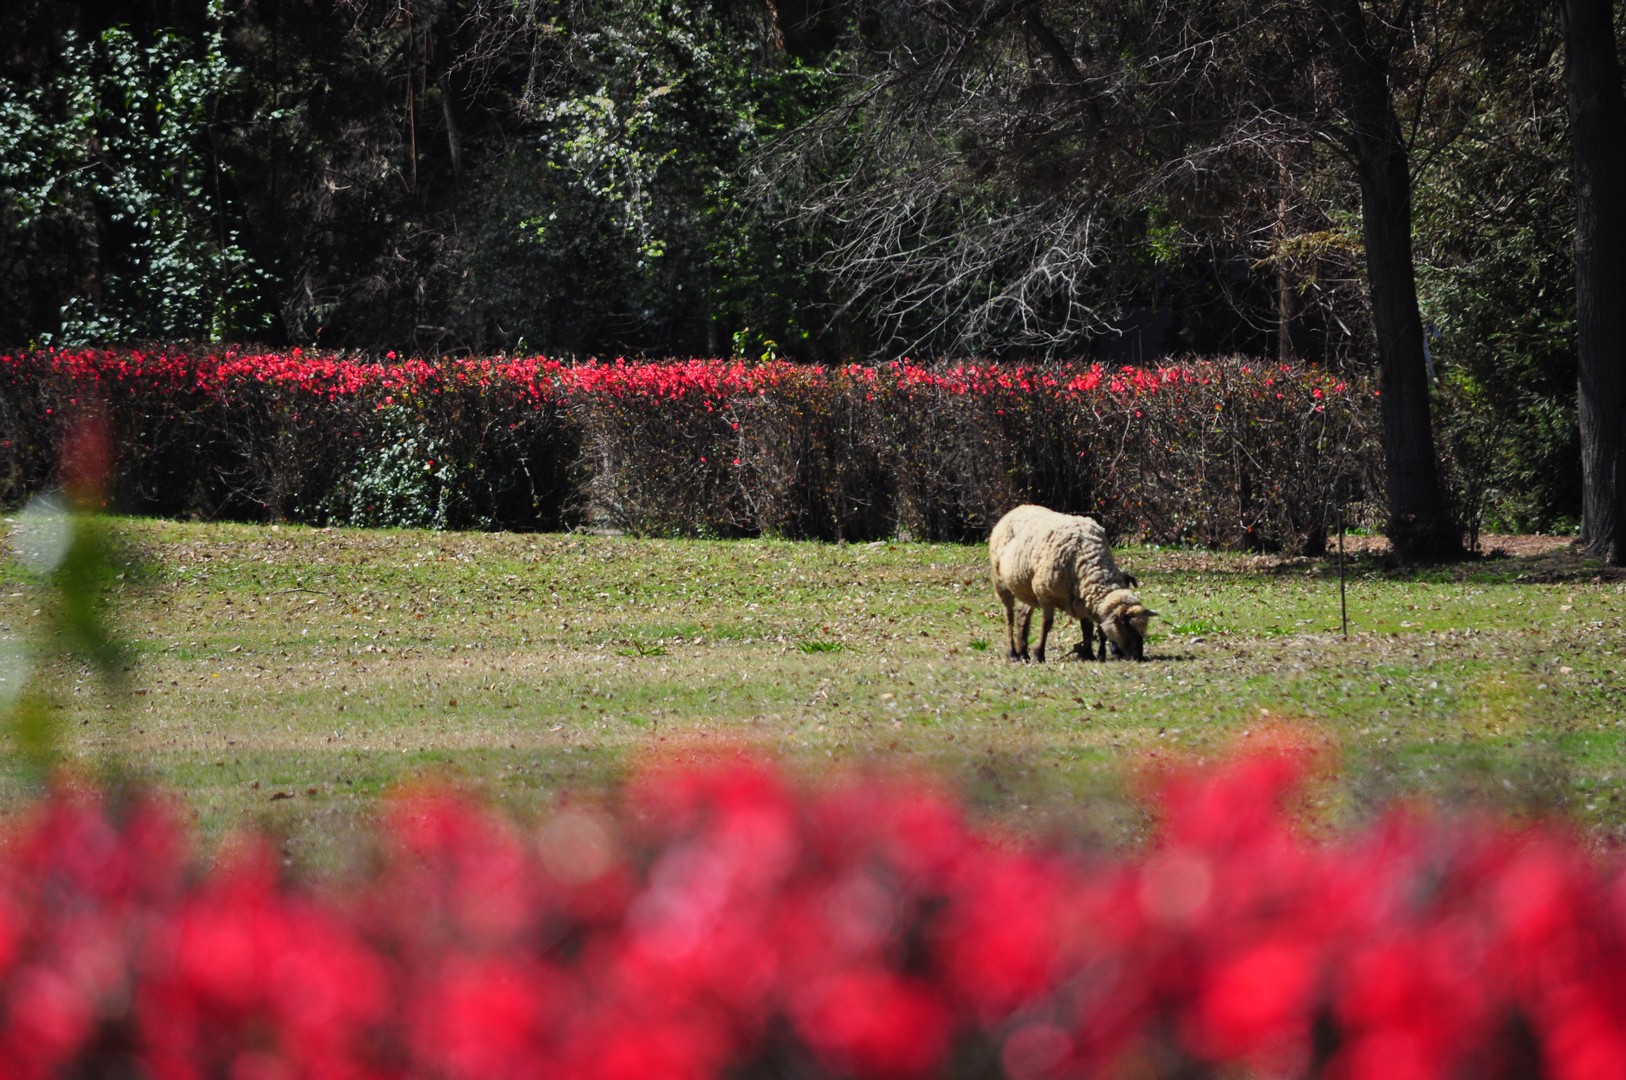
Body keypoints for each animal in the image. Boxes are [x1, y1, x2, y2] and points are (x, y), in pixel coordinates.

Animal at [988, 507, 1157, 666]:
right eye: (1127, 626)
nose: (1138, 657)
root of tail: (1014, 510)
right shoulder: (1045, 595)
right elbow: (1046, 624)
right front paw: (1039, 655)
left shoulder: (1082, 599)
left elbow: (1087, 627)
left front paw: (1088, 655)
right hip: (1001, 582)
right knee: (1009, 616)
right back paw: (1013, 653)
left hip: (1028, 590)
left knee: (1022, 615)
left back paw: (1023, 653)